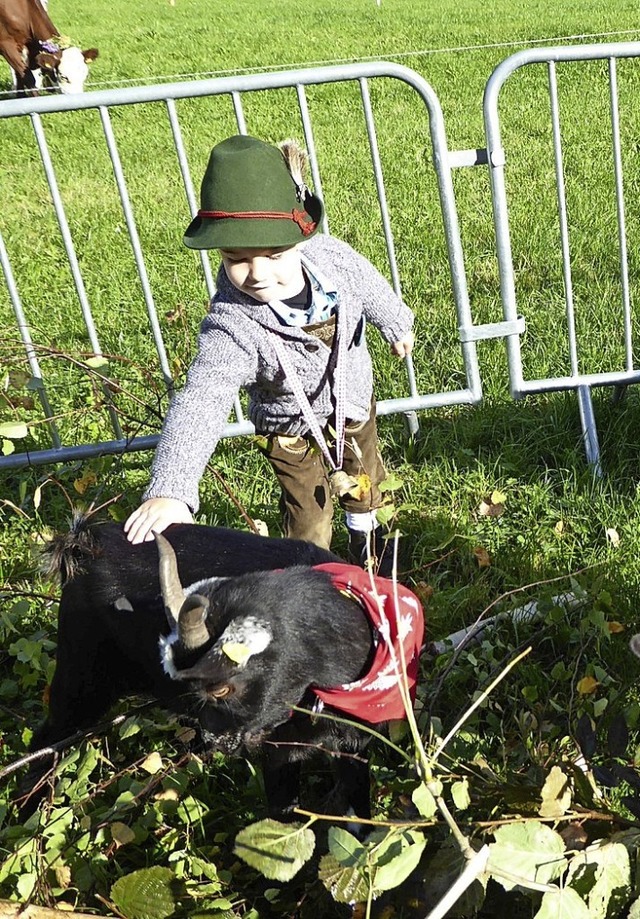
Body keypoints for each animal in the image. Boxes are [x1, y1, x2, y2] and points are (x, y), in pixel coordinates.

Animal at [27, 512, 422, 824]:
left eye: (222, 687)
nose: (214, 740)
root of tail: (89, 546)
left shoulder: (355, 746)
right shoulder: (279, 752)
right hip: (81, 679)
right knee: (46, 741)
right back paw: (30, 821)